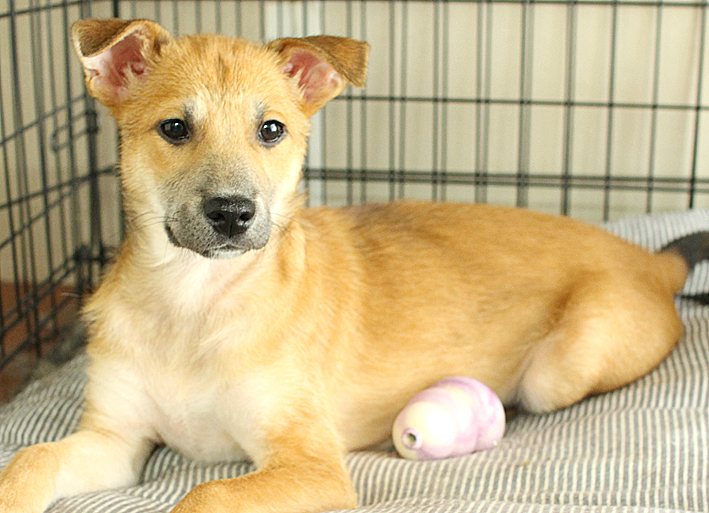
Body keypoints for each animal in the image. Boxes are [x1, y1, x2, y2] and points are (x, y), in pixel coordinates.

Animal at [1, 17, 707, 513]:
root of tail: (651, 262)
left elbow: (206, 494)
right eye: (174, 128)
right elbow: (27, 461)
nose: (233, 214)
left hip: (559, 371)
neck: (193, 300)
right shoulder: (116, 441)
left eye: (272, 130)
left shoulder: (311, 464)